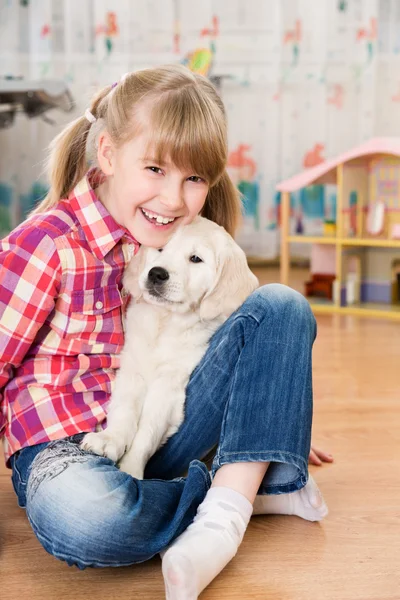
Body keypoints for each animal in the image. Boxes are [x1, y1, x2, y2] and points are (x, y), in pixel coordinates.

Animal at [80, 216, 260, 478]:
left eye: (195, 258)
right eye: (160, 249)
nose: (156, 273)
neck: (164, 323)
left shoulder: (169, 385)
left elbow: (147, 431)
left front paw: (131, 470)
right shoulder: (132, 369)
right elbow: (124, 410)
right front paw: (109, 439)